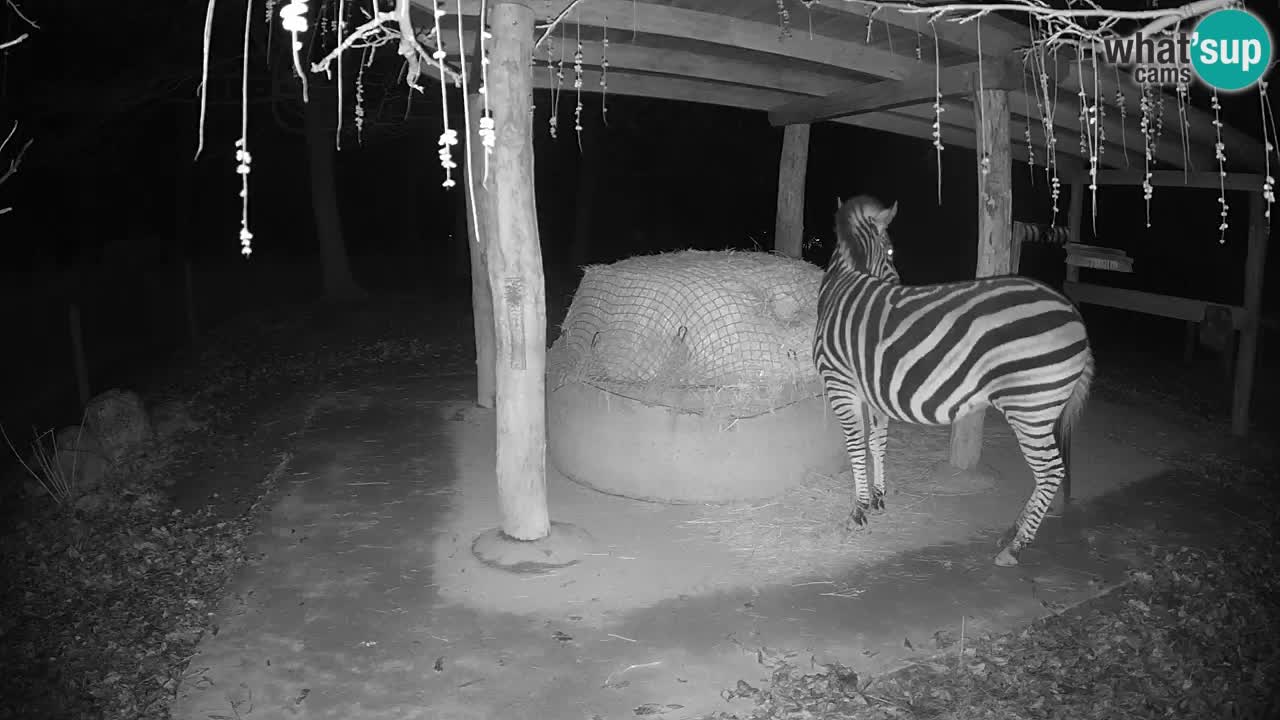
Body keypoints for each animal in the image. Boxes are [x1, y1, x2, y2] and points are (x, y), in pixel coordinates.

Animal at [814, 193, 1095, 563]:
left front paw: (858, 512)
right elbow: (877, 442)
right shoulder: (871, 390)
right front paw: (878, 497)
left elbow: (857, 447)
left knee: (1051, 471)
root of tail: (1076, 317)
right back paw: (1012, 532)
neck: (845, 282)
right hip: (1040, 407)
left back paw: (1016, 546)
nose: (897, 282)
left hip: (1030, 407)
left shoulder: (841, 384)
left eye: (890, 251)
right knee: (1047, 473)